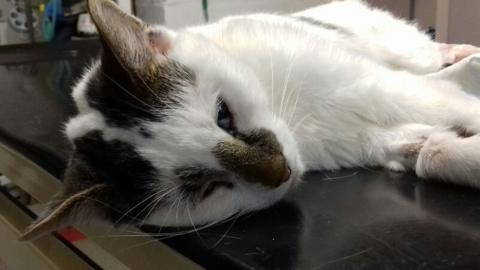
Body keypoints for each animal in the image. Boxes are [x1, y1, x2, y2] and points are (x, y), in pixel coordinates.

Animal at [20, 0, 480, 240]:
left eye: (223, 115)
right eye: (202, 188)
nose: (282, 171)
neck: (297, 122)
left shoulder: (381, 87)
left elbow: (450, 105)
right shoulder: (379, 137)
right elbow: (431, 153)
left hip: (403, 54)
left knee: (429, 59)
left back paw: (463, 53)